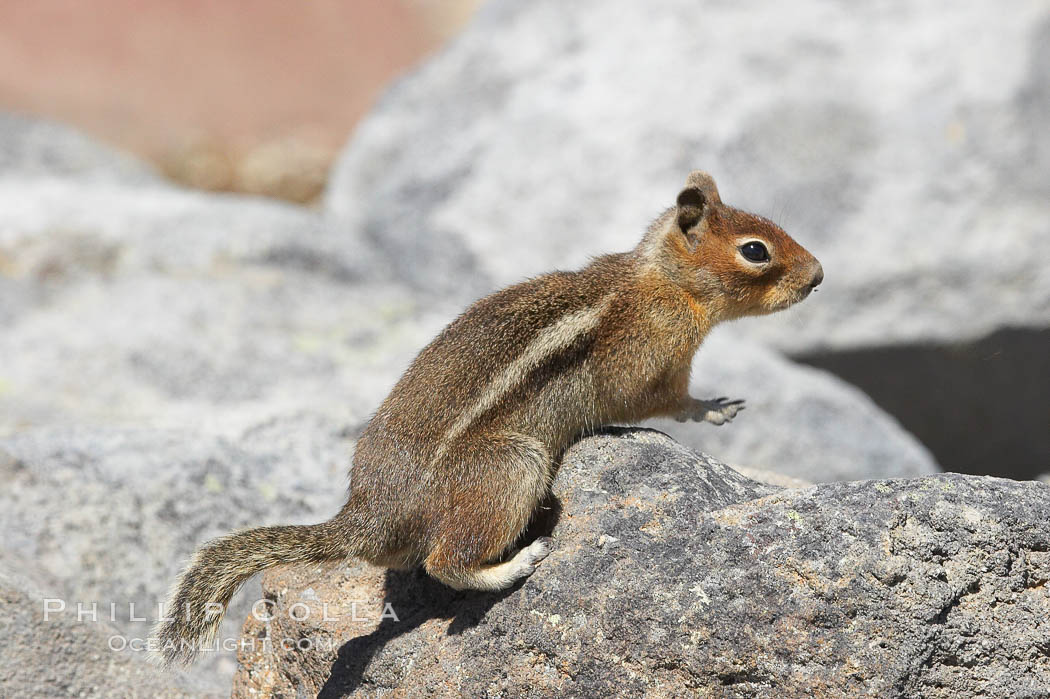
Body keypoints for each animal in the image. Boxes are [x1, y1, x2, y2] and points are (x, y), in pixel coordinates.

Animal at [153, 170, 818, 663]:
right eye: (755, 251)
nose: (819, 276)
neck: (665, 282)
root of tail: (367, 517)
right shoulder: (649, 362)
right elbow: (661, 401)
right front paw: (714, 408)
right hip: (511, 466)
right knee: (446, 561)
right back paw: (519, 562)